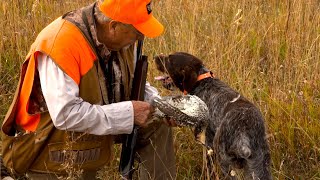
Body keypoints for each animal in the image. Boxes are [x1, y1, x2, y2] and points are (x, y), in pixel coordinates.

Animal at [154, 51, 272, 179]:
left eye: (169, 59)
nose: (155, 57)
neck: (201, 81)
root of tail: (244, 130)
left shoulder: (209, 143)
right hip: (259, 166)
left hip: (224, 160)